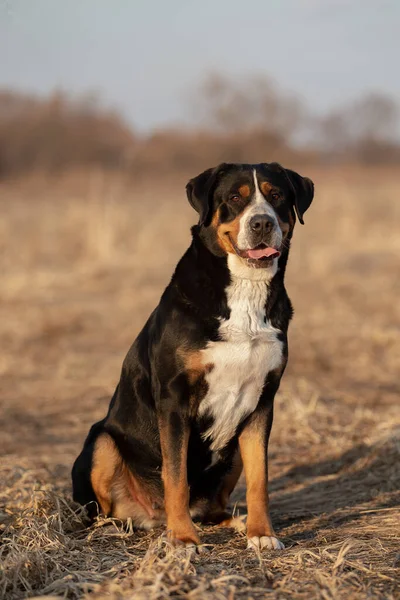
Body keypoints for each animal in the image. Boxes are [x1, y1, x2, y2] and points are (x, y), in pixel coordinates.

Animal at [73, 162, 314, 552]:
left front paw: (261, 533)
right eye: (235, 198)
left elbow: (260, 479)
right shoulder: (174, 400)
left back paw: (234, 521)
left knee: (213, 505)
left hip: (231, 450)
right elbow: (176, 477)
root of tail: (151, 517)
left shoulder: (262, 402)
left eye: (276, 195)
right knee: (104, 509)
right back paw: (119, 526)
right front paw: (183, 539)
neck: (246, 291)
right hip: (102, 441)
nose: (262, 223)